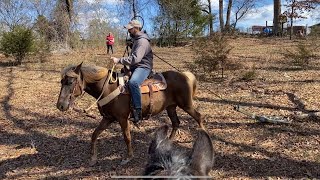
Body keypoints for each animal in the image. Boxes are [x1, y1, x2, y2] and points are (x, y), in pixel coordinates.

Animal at [56, 62, 204, 165]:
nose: (60, 105)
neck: (109, 88)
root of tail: (183, 75)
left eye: (70, 82)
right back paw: (168, 143)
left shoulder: (122, 119)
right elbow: (94, 134)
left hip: (186, 105)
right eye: (61, 82)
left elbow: (127, 137)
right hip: (171, 107)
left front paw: (128, 157)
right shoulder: (108, 118)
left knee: (198, 117)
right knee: (176, 122)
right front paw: (92, 158)